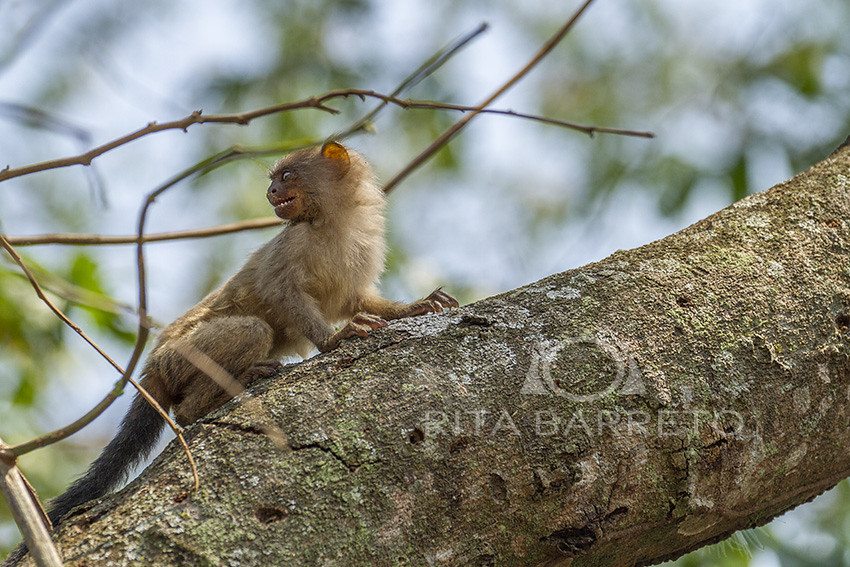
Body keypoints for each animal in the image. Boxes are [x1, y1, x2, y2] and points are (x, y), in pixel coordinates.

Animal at [4, 141, 458, 564]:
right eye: (274, 179)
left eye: (287, 176)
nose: (272, 191)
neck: (332, 224)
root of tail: (152, 363)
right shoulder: (292, 244)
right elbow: (283, 294)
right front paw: (334, 340)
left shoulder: (363, 249)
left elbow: (359, 300)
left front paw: (414, 308)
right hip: (180, 357)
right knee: (248, 336)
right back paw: (217, 395)